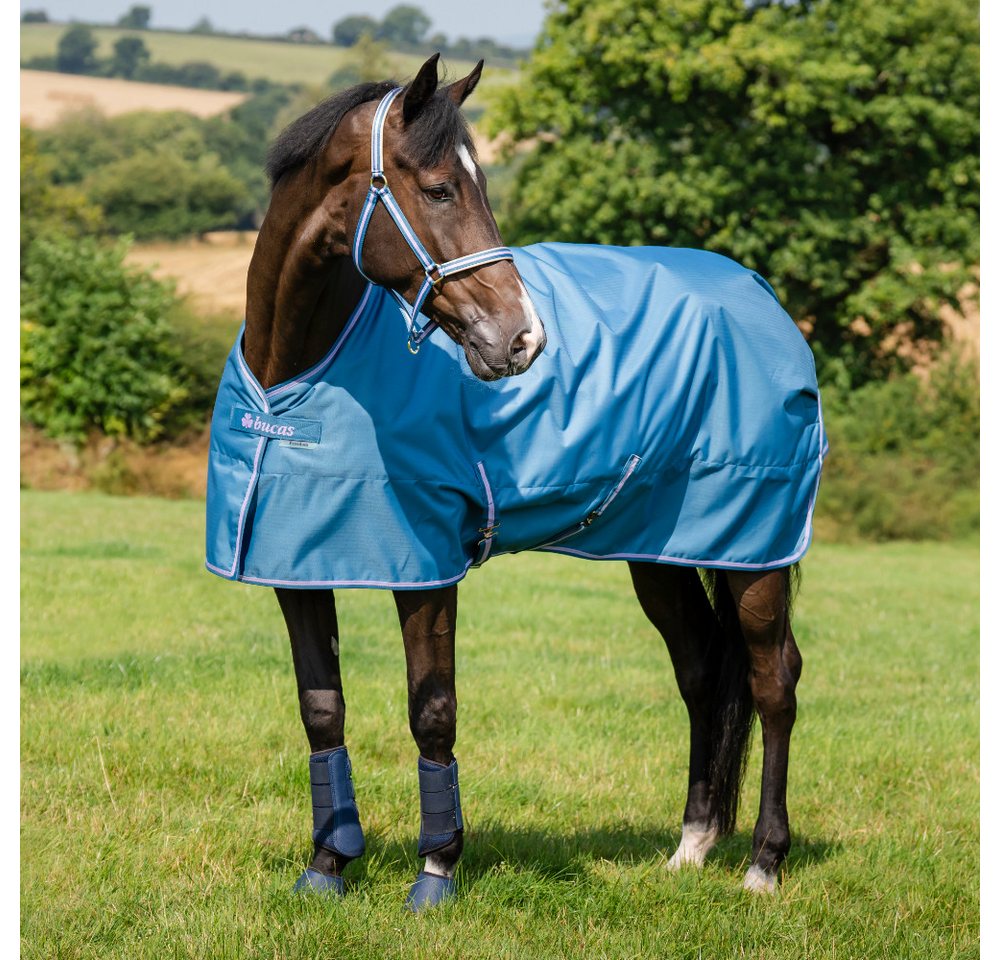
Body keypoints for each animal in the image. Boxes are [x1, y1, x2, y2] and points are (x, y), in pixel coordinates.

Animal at [205, 54, 821, 911]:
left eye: (481, 187)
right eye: (438, 190)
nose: (523, 337)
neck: (293, 377)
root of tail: (761, 296)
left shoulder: (427, 571)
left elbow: (433, 711)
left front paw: (436, 872)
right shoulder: (294, 568)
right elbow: (321, 711)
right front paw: (327, 866)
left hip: (755, 551)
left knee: (773, 681)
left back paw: (764, 862)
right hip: (661, 554)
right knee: (701, 673)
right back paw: (692, 845)